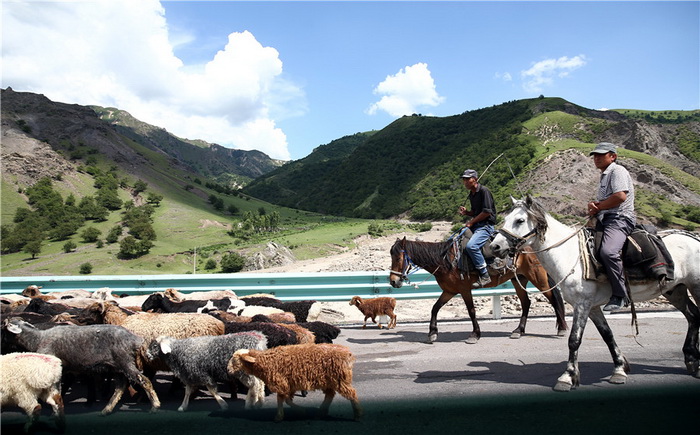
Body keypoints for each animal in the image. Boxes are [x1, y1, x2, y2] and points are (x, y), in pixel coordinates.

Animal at [4, 318, 160, 418]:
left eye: (2, 326)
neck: (37, 339)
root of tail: (136, 339)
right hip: (117, 367)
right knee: (120, 387)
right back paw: (106, 410)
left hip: (125, 362)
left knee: (144, 380)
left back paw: (155, 406)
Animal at [392, 238, 568, 344]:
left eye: (398, 258)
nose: (393, 281)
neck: (446, 261)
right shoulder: (449, 291)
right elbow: (435, 308)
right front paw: (432, 333)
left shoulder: (464, 290)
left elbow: (471, 311)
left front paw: (475, 334)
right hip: (519, 279)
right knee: (526, 303)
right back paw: (518, 331)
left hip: (538, 278)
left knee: (553, 299)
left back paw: (561, 328)